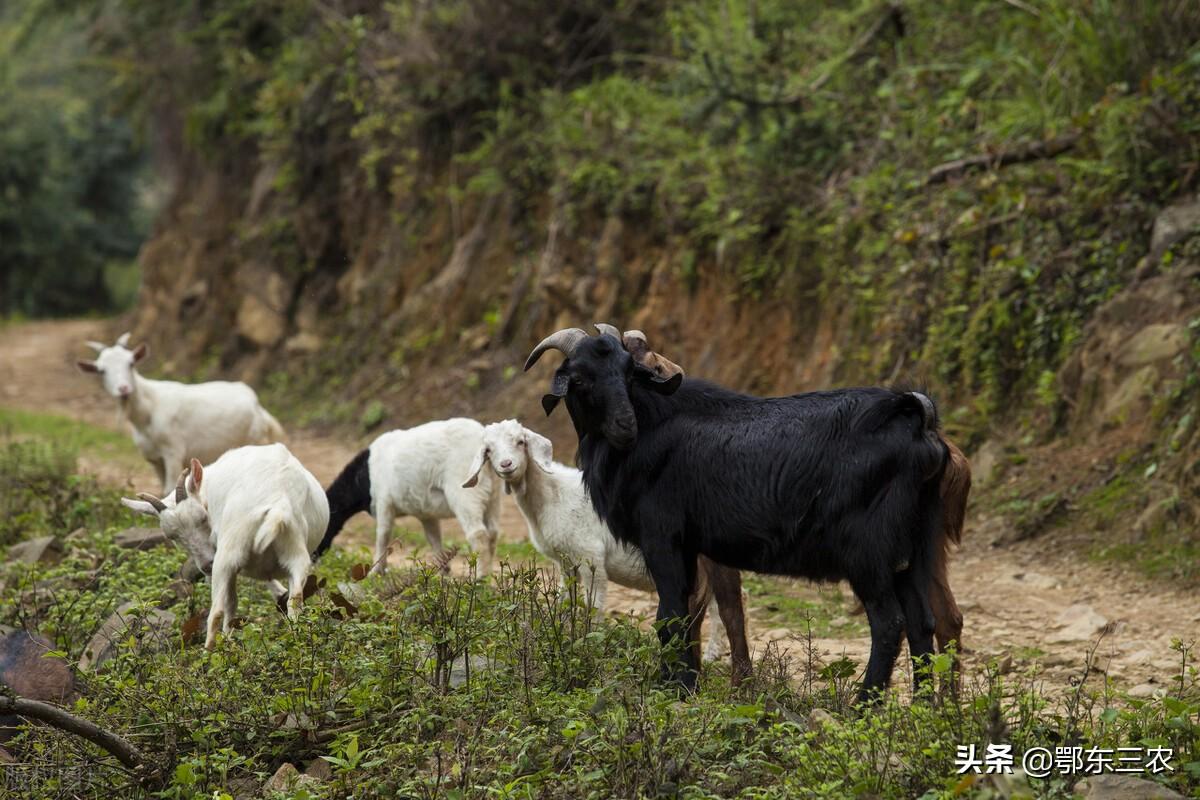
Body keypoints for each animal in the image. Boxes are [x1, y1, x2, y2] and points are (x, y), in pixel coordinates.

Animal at [79, 331, 285, 494]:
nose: (123, 389)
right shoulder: (154, 459)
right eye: (101, 371)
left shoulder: (173, 452)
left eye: (131, 363)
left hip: (257, 439)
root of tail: (258, 406)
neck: (148, 408)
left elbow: (170, 488)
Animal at [122, 443, 328, 652]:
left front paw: (228, 639)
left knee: (217, 611)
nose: (206, 565)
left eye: (202, 518)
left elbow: (231, 602)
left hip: (228, 553)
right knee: (296, 599)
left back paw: (210, 652)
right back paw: (295, 640)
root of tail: (278, 504)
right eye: (172, 536)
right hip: (296, 549)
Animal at [314, 419, 501, 575]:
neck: (364, 476)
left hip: (466, 492)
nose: (314, 560)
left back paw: (480, 577)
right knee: (492, 532)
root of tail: (483, 443)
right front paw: (443, 571)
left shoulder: (384, 502)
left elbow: (383, 535)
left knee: (478, 534)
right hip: (492, 495)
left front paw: (375, 572)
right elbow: (433, 538)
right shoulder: (426, 514)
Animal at [460, 419, 729, 662]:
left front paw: (593, 646)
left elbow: (594, 605)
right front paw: (564, 636)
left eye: (520, 442)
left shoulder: (590, 555)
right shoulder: (566, 562)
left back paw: (712, 654)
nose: (506, 464)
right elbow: (565, 601)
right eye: (488, 450)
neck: (553, 495)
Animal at [525, 326, 945, 700]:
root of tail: (912, 418)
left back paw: (863, 705)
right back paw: (923, 708)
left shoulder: (661, 537)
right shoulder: (688, 546)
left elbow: (669, 613)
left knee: (889, 623)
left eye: (628, 371)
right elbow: (684, 615)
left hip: (868, 551)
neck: (654, 425)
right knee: (923, 622)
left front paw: (676, 689)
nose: (625, 426)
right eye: (580, 377)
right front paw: (680, 683)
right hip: (916, 550)